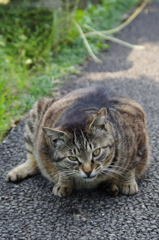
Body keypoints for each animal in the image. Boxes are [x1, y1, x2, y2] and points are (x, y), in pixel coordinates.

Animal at [6, 86, 150, 197]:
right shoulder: (46, 147)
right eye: (72, 158)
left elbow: (129, 168)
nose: (88, 171)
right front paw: (63, 184)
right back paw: (17, 172)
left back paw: (110, 186)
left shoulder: (139, 142)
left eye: (96, 152)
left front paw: (128, 183)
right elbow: (62, 170)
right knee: (33, 159)